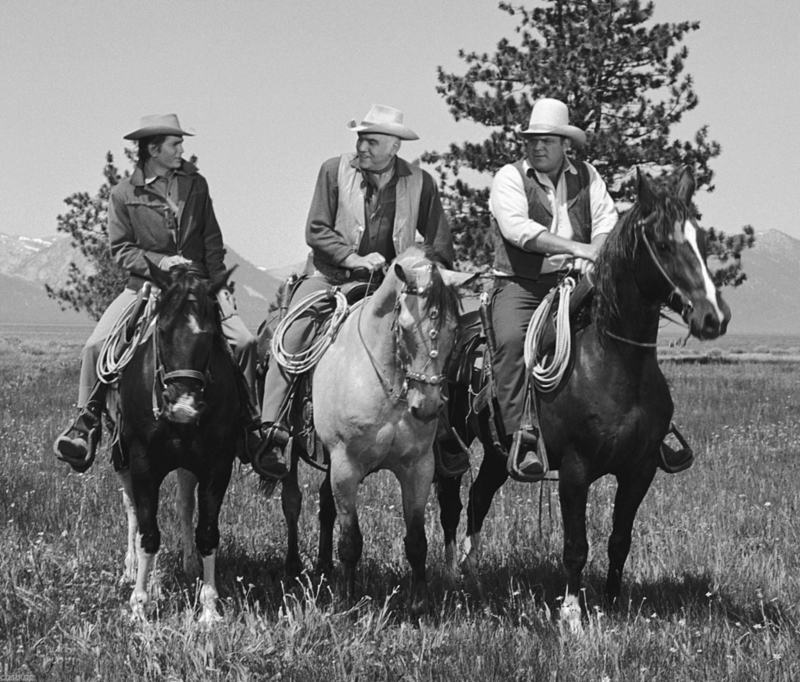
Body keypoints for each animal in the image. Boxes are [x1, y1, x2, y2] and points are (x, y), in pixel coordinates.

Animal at [278, 246, 468, 616]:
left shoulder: (418, 468)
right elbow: (351, 540)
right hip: (291, 450)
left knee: (324, 506)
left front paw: (419, 603)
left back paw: (324, 566)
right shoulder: (346, 467)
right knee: (292, 502)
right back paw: (293, 566)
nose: (426, 407)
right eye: (405, 326)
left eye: (454, 328)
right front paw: (348, 600)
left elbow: (417, 540)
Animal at [438, 167, 732, 628]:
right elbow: (576, 545)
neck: (615, 364)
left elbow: (619, 539)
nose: (713, 318)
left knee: (478, 499)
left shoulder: (640, 470)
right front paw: (572, 614)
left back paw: (471, 569)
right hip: (451, 440)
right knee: (451, 500)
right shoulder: (576, 471)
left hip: (498, 454)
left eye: (701, 241)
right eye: (663, 244)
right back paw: (452, 570)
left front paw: (612, 602)